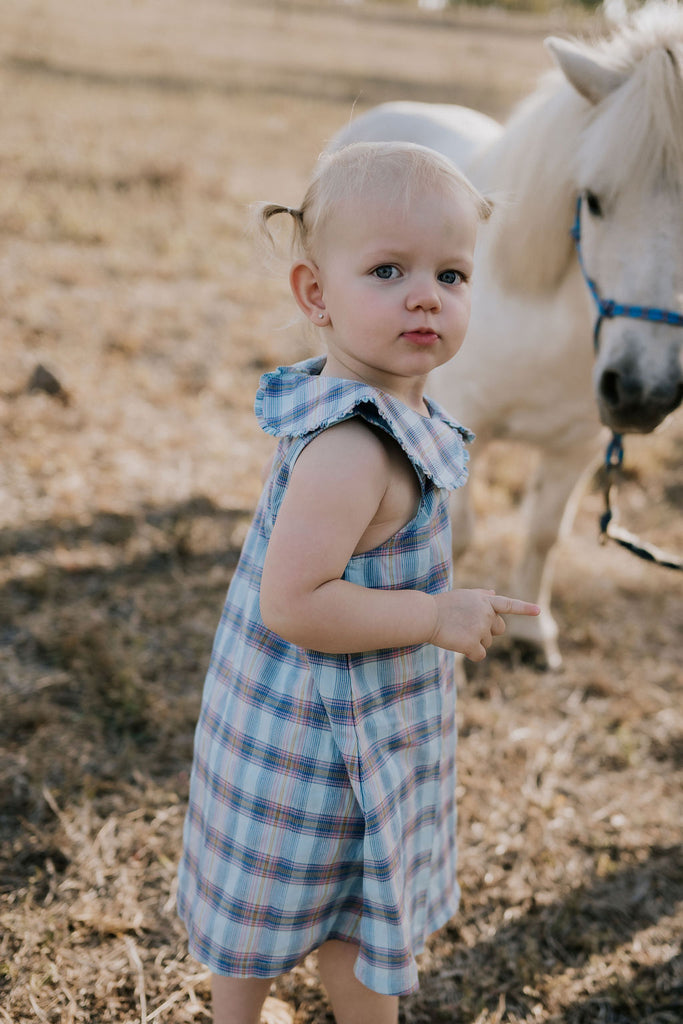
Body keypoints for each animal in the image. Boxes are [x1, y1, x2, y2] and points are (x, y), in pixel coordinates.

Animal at [327, 0, 679, 667]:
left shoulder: (578, 448)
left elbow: (543, 533)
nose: (642, 392)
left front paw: (533, 636)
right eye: (593, 200)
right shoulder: (462, 426)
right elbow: (455, 539)